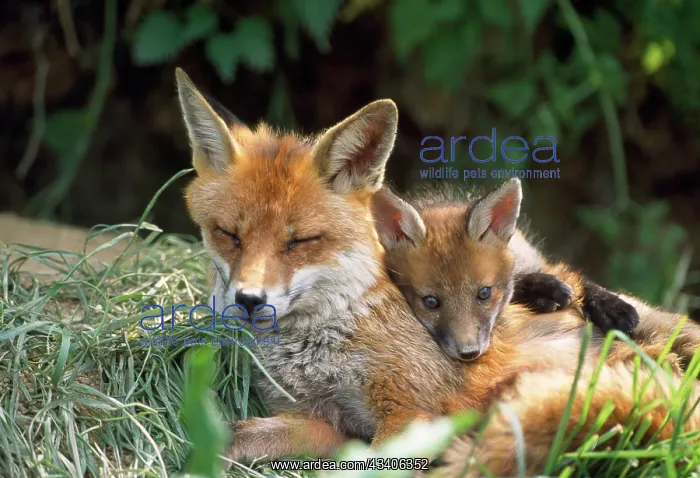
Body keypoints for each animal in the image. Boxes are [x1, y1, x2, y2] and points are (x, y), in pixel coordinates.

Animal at [174, 68, 699, 473]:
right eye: (229, 234)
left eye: (300, 242)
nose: (248, 301)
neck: (317, 347)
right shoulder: (321, 421)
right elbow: (238, 434)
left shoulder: (411, 413)